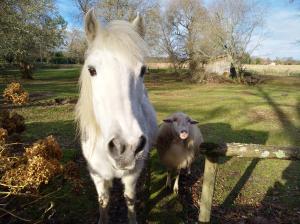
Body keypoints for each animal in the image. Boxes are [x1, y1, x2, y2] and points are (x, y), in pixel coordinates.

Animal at [75, 8, 157, 224]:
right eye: (91, 70)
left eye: (143, 70)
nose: (126, 147)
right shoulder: (97, 175)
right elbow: (103, 201)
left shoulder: (132, 175)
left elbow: (130, 200)